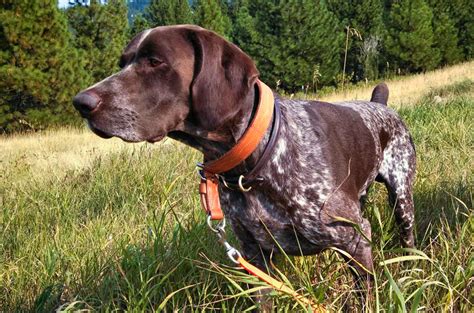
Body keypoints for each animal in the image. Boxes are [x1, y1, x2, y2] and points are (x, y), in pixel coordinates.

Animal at [73, 25, 414, 302]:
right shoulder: (254, 256)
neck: (254, 164)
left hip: (402, 199)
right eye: (122, 62)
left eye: (155, 61)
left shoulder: (355, 240)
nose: (81, 103)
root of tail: (379, 105)